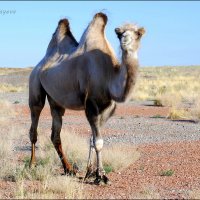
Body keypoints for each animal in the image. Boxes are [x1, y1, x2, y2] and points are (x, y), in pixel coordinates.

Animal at [28, 12, 145, 184]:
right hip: (35, 85)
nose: (125, 40)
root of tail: (39, 64)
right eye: (119, 34)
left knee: (55, 133)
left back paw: (69, 169)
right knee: (34, 125)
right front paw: (101, 176)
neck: (108, 75)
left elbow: (93, 140)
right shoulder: (91, 105)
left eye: (138, 33)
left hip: (56, 101)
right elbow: (98, 142)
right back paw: (32, 164)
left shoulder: (106, 108)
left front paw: (90, 172)